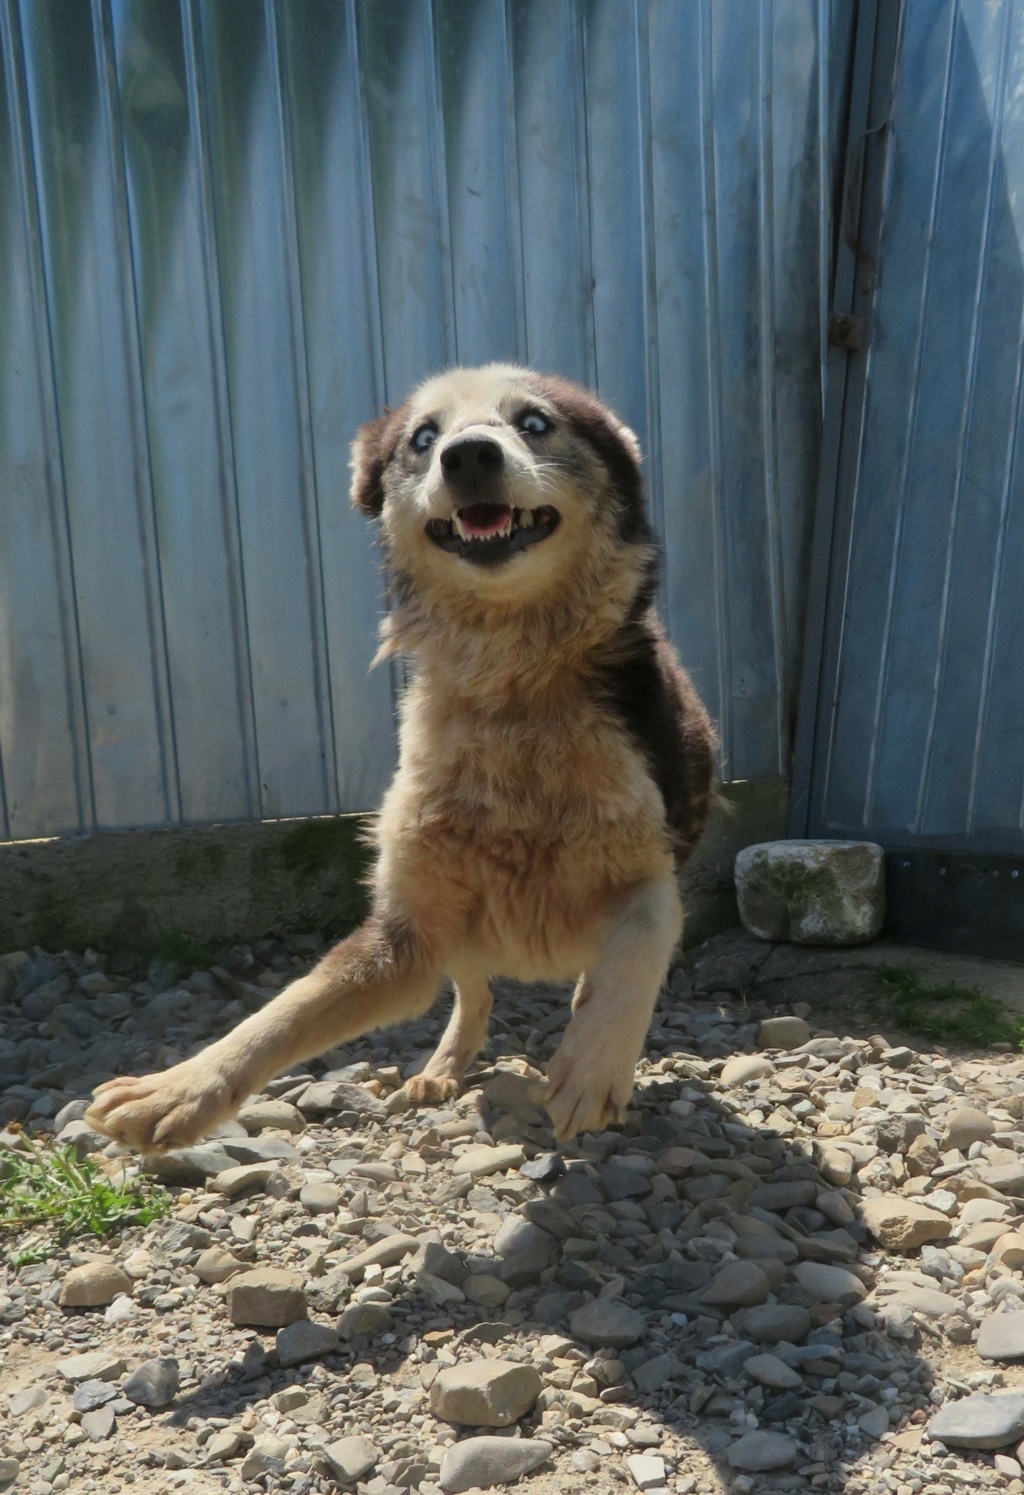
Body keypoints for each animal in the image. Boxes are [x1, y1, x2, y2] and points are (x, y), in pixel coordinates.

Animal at [85, 367, 711, 1148]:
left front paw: (593, 1064)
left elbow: (644, 932)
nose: (468, 455)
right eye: (423, 437)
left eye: (535, 423)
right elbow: (283, 1012)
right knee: (473, 992)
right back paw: (442, 1068)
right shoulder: (404, 933)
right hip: (460, 930)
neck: (512, 696)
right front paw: (179, 1087)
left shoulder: (651, 865)